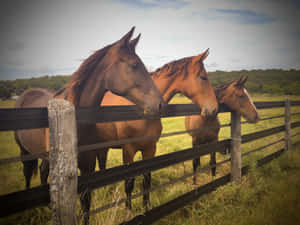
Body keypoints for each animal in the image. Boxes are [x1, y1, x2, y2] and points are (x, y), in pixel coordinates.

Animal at [14, 27, 164, 225]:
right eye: (134, 65)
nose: (160, 104)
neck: (76, 121)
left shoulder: (88, 164)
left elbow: (86, 201)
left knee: (42, 171)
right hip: (24, 151)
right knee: (27, 174)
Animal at [92, 45, 217, 209]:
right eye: (203, 77)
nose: (215, 108)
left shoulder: (150, 149)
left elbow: (147, 180)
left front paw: (147, 206)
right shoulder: (128, 151)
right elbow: (129, 183)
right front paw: (129, 210)